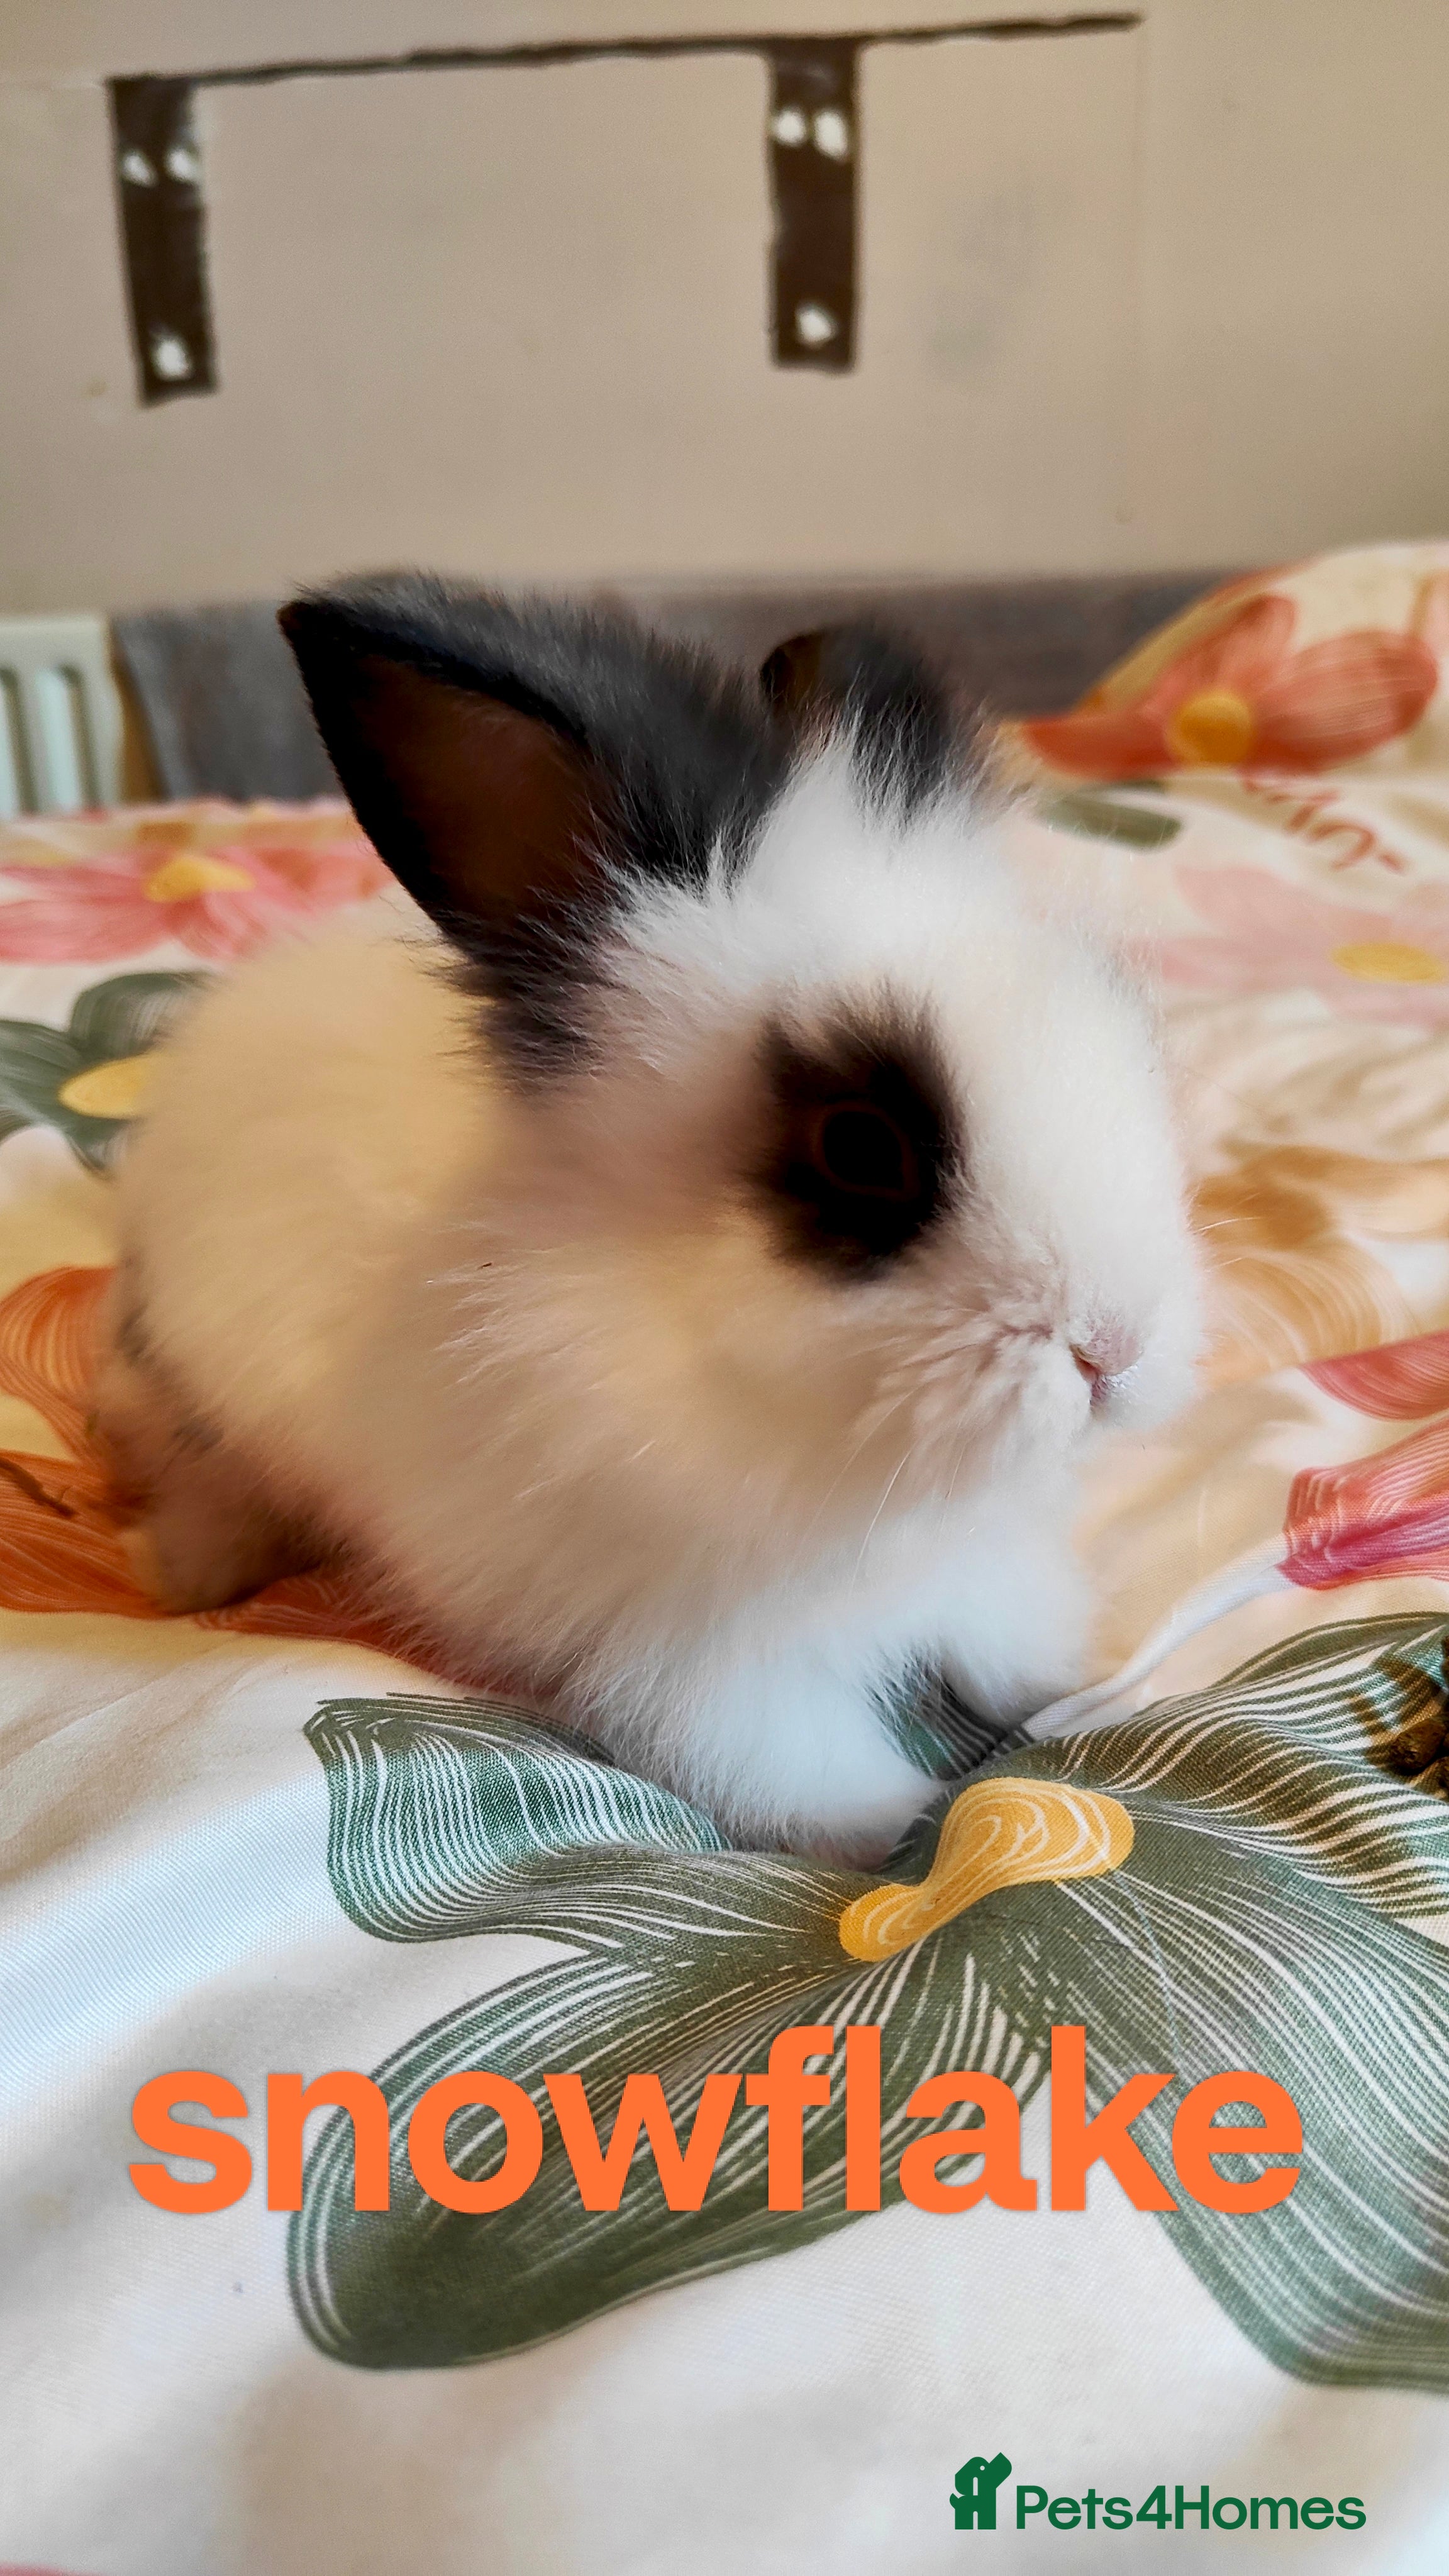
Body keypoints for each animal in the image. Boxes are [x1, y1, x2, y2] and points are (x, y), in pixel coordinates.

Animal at [93, 577, 1201, 1862]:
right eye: (860, 1148)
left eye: (1119, 1026)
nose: (1115, 1349)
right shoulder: (701, 1661)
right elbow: (797, 1765)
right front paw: (902, 1832)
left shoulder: (980, 1567)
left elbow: (1004, 1641)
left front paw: (1070, 1688)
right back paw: (182, 1575)